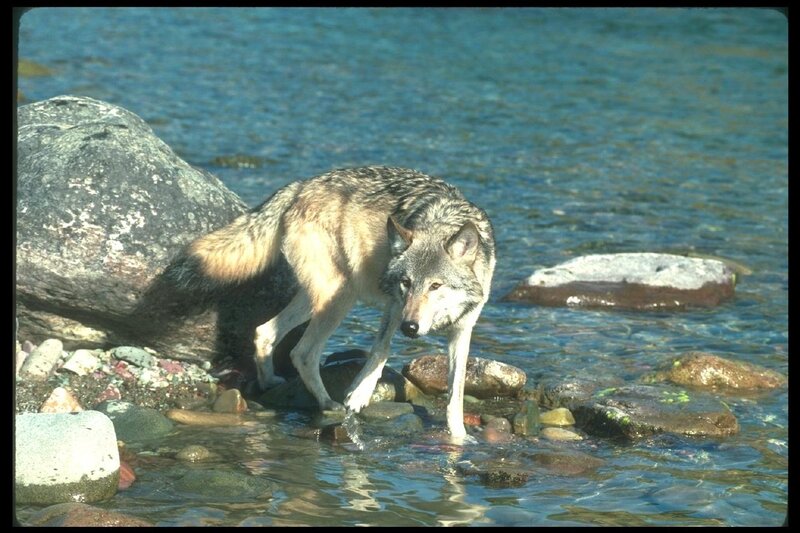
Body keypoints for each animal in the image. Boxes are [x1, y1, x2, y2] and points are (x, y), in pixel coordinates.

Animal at [185, 166, 495, 441]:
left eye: (435, 285)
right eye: (406, 283)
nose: (410, 328)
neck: (443, 220)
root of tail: (300, 185)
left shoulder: (462, 331)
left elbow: (456, 391)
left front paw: (459, 438)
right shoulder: (394, 306)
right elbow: (381, 350)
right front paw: (359, 394)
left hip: (318, 298)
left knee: (265, 331)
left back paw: (269, 383)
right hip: (341, 295)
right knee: (303, 352)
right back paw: (327, 404)